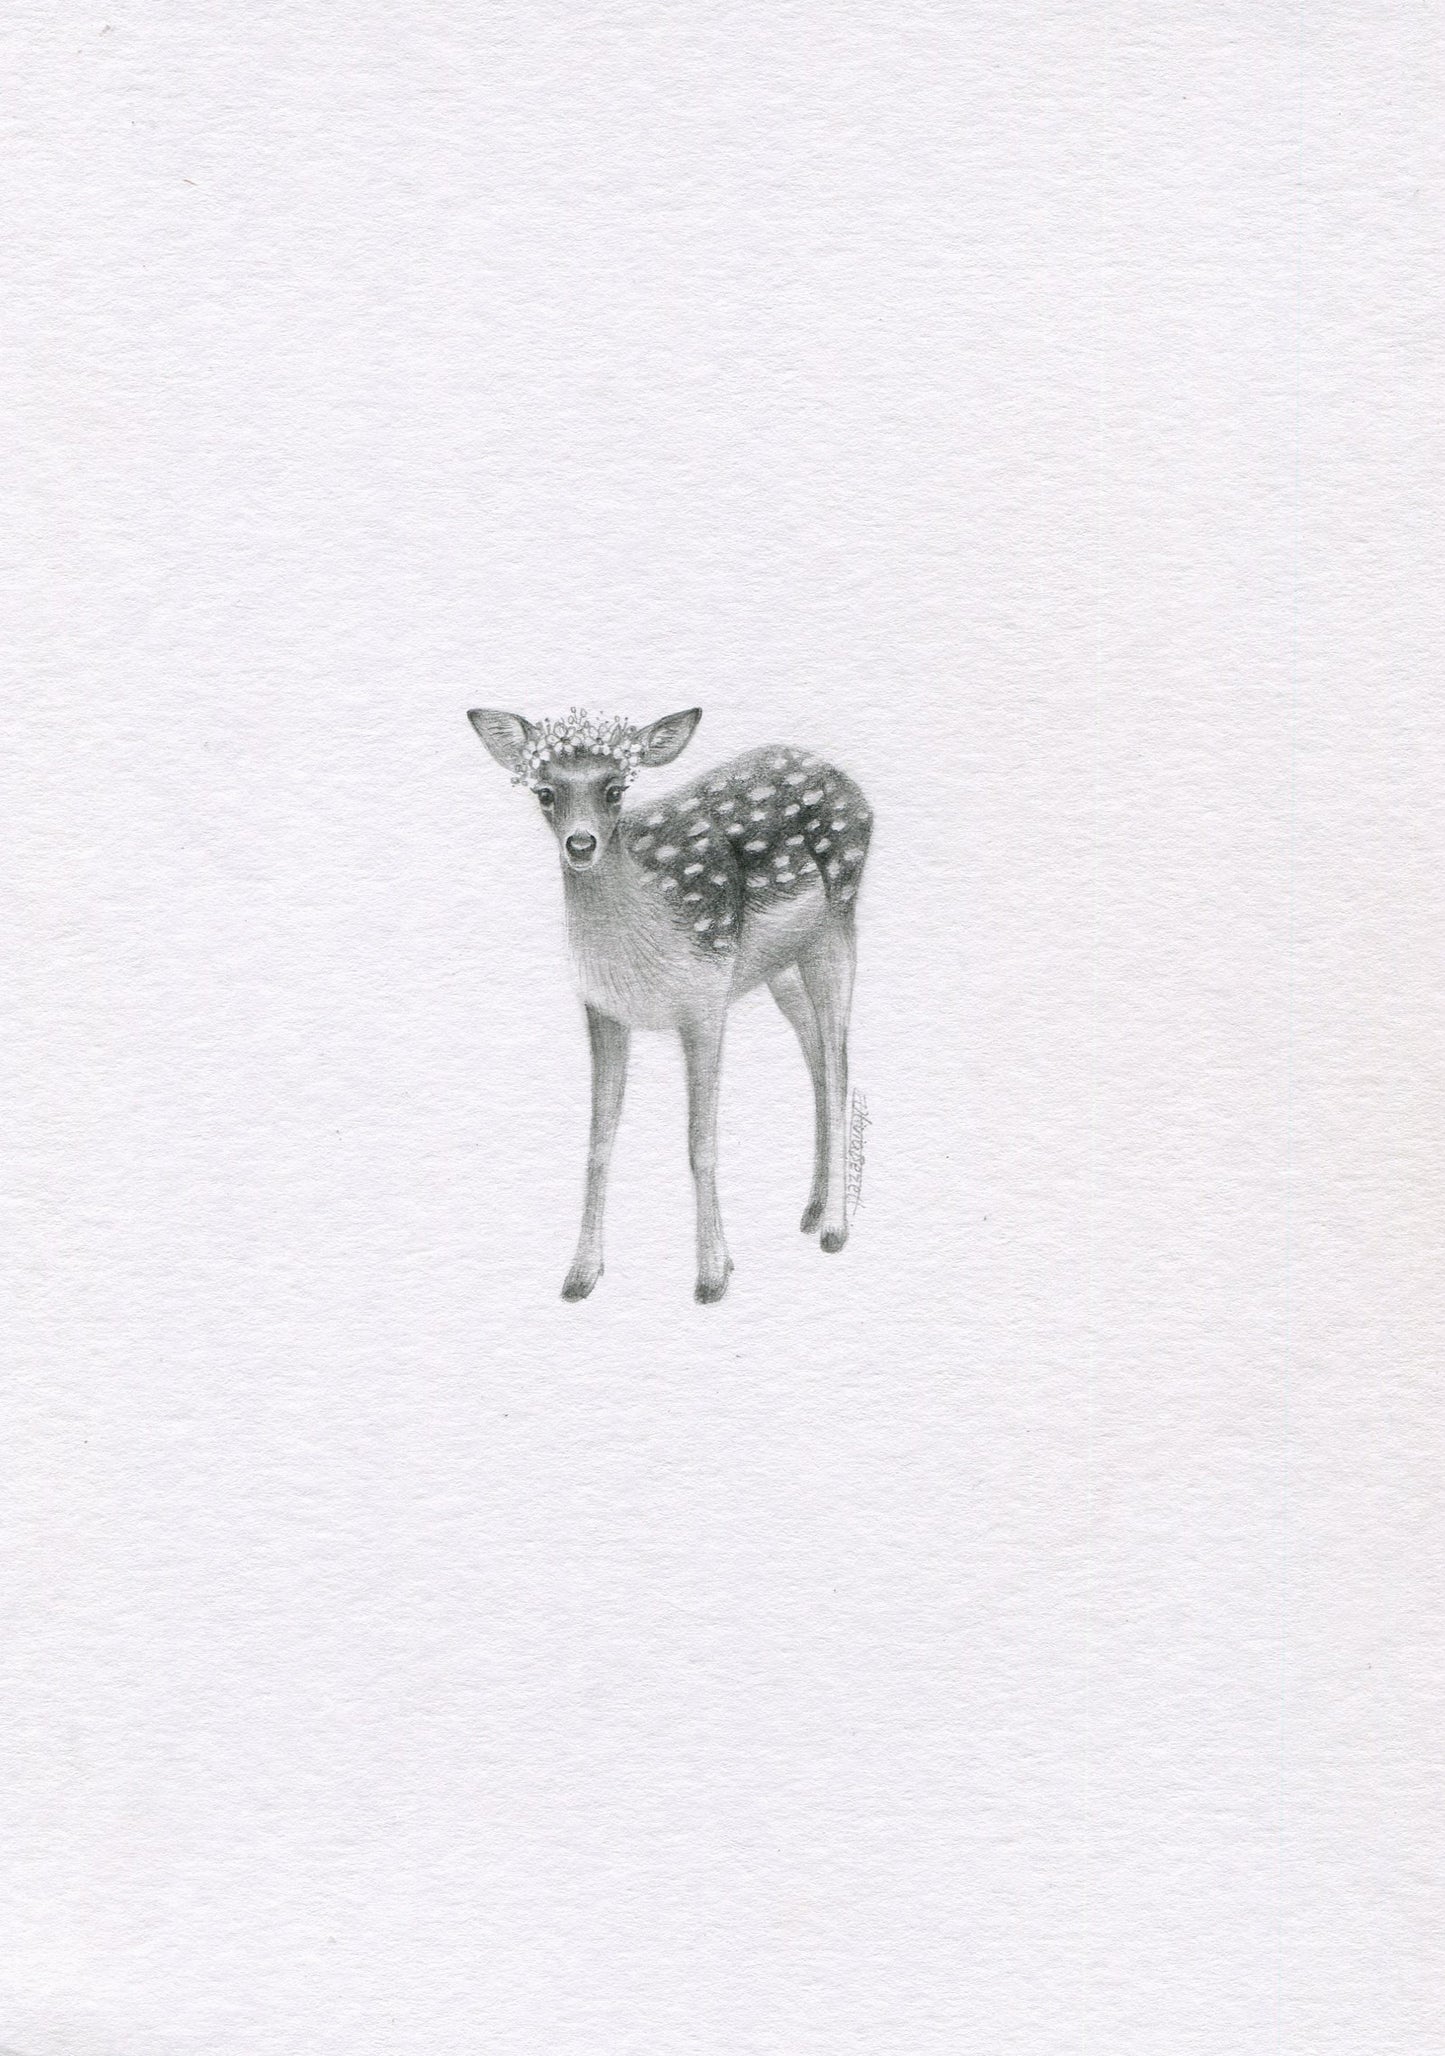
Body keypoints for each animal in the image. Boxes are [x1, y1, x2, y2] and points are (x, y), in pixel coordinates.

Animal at [467, 705, 872, 1302]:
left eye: (615, 788)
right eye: (545, 791)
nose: (581, 844)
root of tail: (851, 786)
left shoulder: (704, 1001)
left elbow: (700, 1143)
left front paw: (713, 1276)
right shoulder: (603, 1010)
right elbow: (599, 1141)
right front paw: (581, 1274)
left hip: (837, 922)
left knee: (839, 1059)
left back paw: (835, 1230)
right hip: (777, 967)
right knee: (817, 1058)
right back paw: (812, 1209)